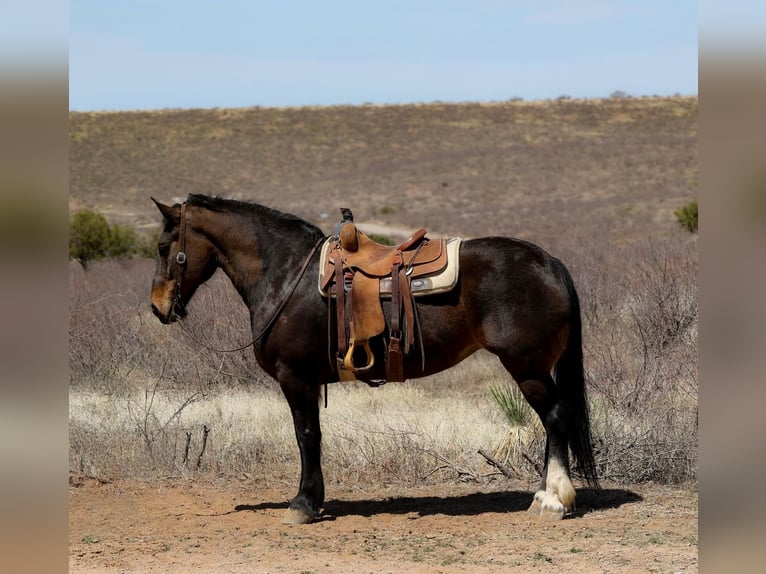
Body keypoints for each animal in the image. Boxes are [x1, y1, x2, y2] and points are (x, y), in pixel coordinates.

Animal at [150, 193, 599, 524]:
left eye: (162, 247)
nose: (157, 307)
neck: (286, 274)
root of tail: (550, 263)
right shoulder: (308, 381)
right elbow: (314, 436)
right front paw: (315, 499)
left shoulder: (294, 377)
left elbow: (305, 436)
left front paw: (303, 504)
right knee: (553, 420)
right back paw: (543, 495)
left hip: (527, 368)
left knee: (555, 416)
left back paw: (554, 501)